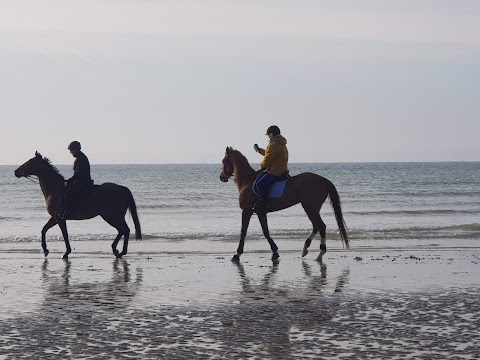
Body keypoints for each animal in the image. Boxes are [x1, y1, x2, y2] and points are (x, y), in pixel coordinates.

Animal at [218, 146, 348, 262]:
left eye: (223, 161)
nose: (221, 177)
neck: (247, 181)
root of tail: (322, 179)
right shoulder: (260, 212)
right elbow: (266, 231)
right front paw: (275, 252)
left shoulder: (247, 210)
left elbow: (243, 232)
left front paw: (237, 254)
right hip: (312, 208)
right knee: (316, 226)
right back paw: (305, 249)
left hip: (310, 208)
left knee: (321, 226)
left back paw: (320, 253)